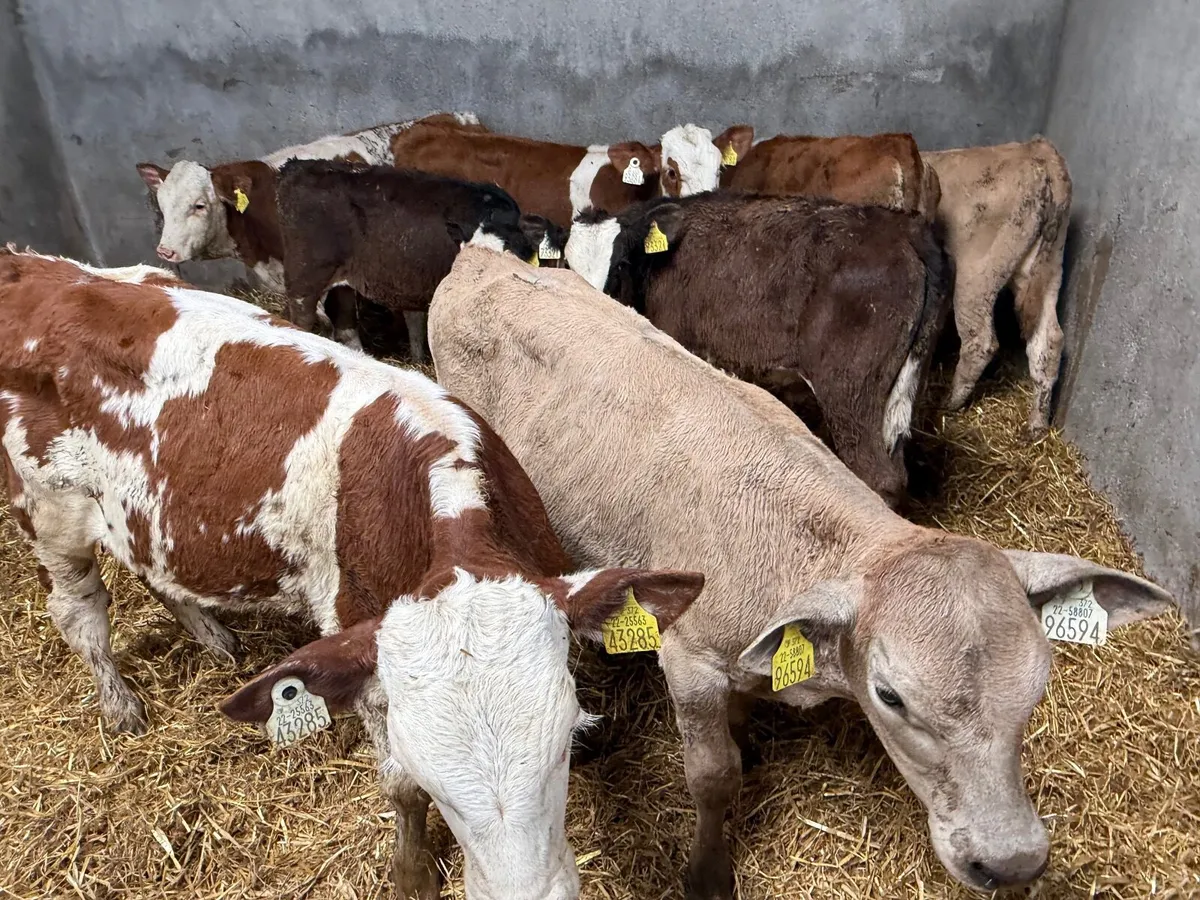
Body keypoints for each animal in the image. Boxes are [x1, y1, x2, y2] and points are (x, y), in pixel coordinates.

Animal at [0, 246, 704, 900]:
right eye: (432, 779)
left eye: (565, 742)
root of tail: (30, 266)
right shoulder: (358, 643)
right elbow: (396, 787)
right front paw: (412, 872)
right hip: (49, 515)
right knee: (80, 614)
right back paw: (121, 706)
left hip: (136, 510)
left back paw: (213, 637)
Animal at [426, 244, 1175, 900]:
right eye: (890, 696)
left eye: (1039, 683)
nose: (1012, 861)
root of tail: (479, 259)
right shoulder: (688, 659)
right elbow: (713, 776)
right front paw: (707, 873)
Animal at [925, 138, 1072, 433]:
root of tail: (1036, 151)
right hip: (1046, 269)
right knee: (1048, 341)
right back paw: (1037, 426)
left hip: (976, 275)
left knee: (981, 340)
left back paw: (948, 403)